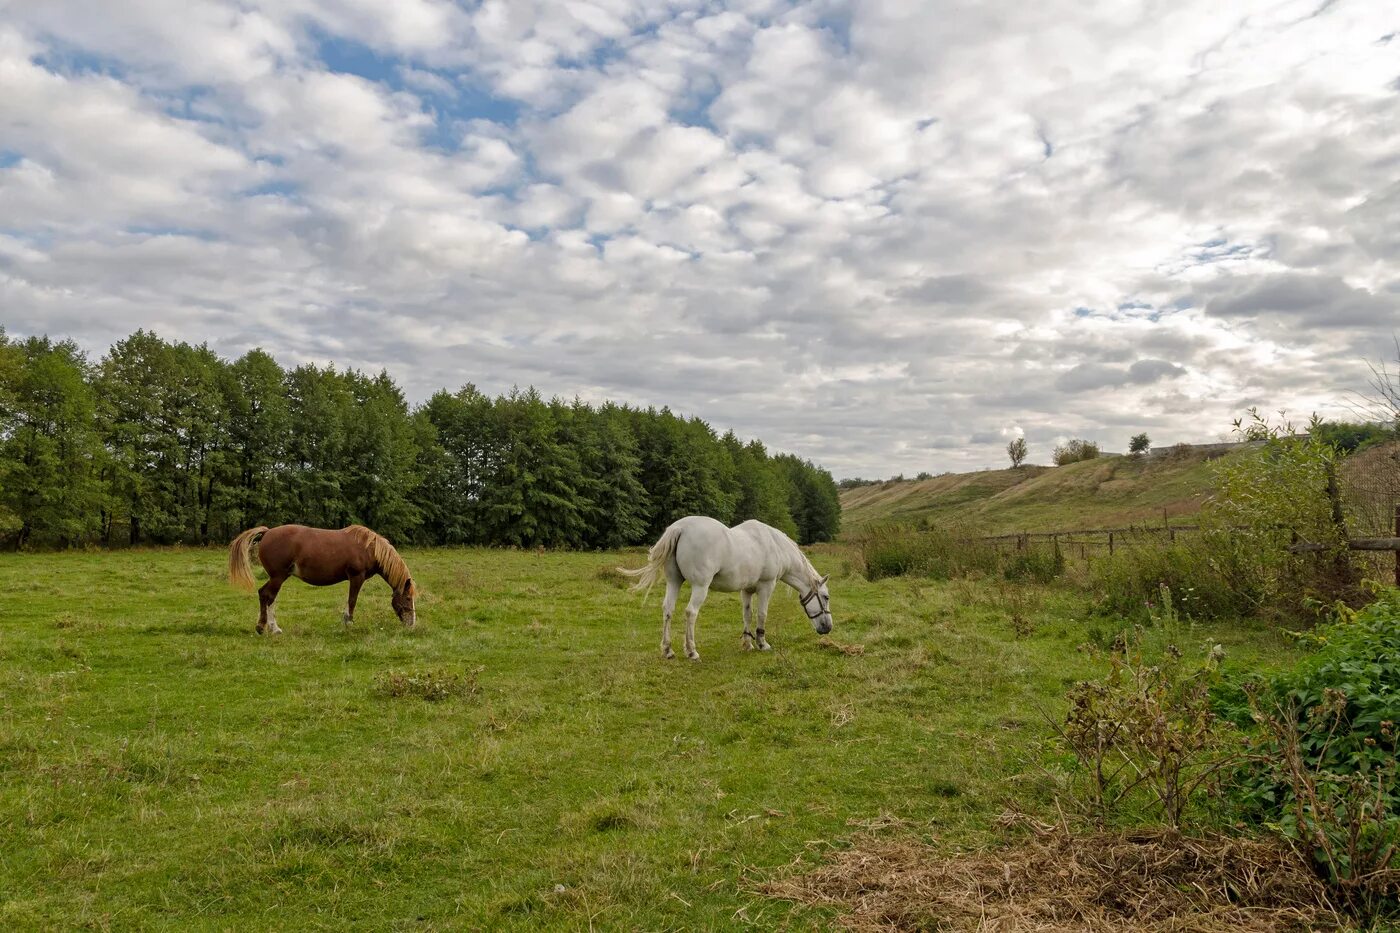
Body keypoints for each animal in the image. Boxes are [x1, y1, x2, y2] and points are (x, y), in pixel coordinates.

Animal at [228, 523, 414, 633]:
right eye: (408, 598)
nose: (411, 623)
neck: (369, 548)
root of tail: (267, 532)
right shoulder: (356, 577)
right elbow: (352, 600)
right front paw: (349, 623)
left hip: (278, 577)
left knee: (265, 595)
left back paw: (267, 627)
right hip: (278, 577)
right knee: (268, 596)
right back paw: (269, 628)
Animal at [616, 512, 823, 658]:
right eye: (826, 597)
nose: (826, 628)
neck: (775, 545)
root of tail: (680, 528)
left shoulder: (746, 590)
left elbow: (747, 614)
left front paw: (747, 643)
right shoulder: (766, 586)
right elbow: (762, 614)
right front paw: (762, 643)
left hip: (674, 582)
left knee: (668, 609)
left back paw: (668, 650)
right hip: (700, 586)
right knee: (691, 612)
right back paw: (691, 651)